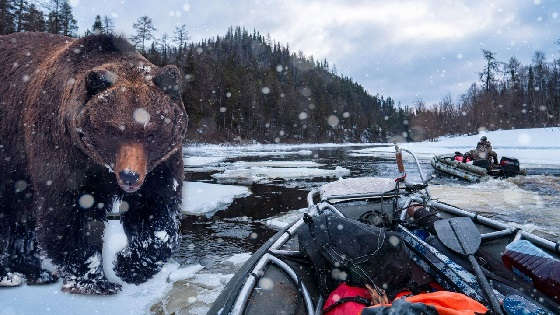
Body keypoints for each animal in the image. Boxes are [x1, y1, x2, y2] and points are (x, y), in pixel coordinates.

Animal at [0, 30, 188, 296]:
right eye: (114, 130)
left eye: (152, 132)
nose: (130, 176)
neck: (100, 163)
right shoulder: (63, 150)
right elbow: (73, 212)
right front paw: (95, 280)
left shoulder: (159, 164)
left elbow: (155, 210)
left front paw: (130, 265)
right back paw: (9, 276)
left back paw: (36, 272)